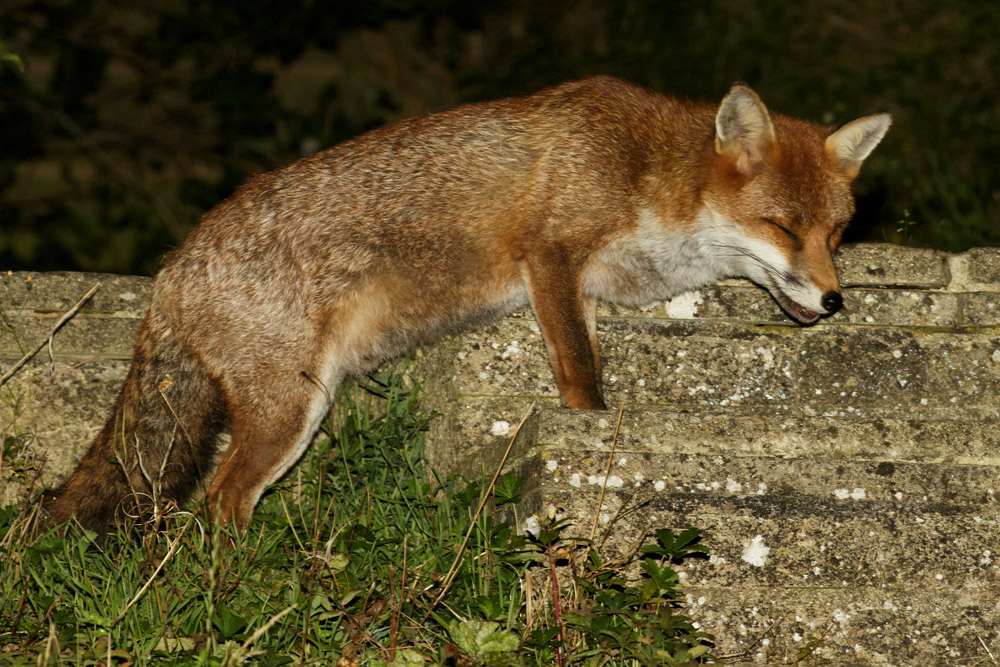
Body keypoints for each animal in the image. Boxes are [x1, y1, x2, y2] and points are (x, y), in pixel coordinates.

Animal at [41, 76, 890, 534]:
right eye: (784, 228)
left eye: (837, 232)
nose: (835, 298)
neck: (647, 176)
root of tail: (171, 269)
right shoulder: (551, 253)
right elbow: (579, 373)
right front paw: (586, 427)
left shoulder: (588, 285)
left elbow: (590, 352)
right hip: (291, 410)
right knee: (220, 502)